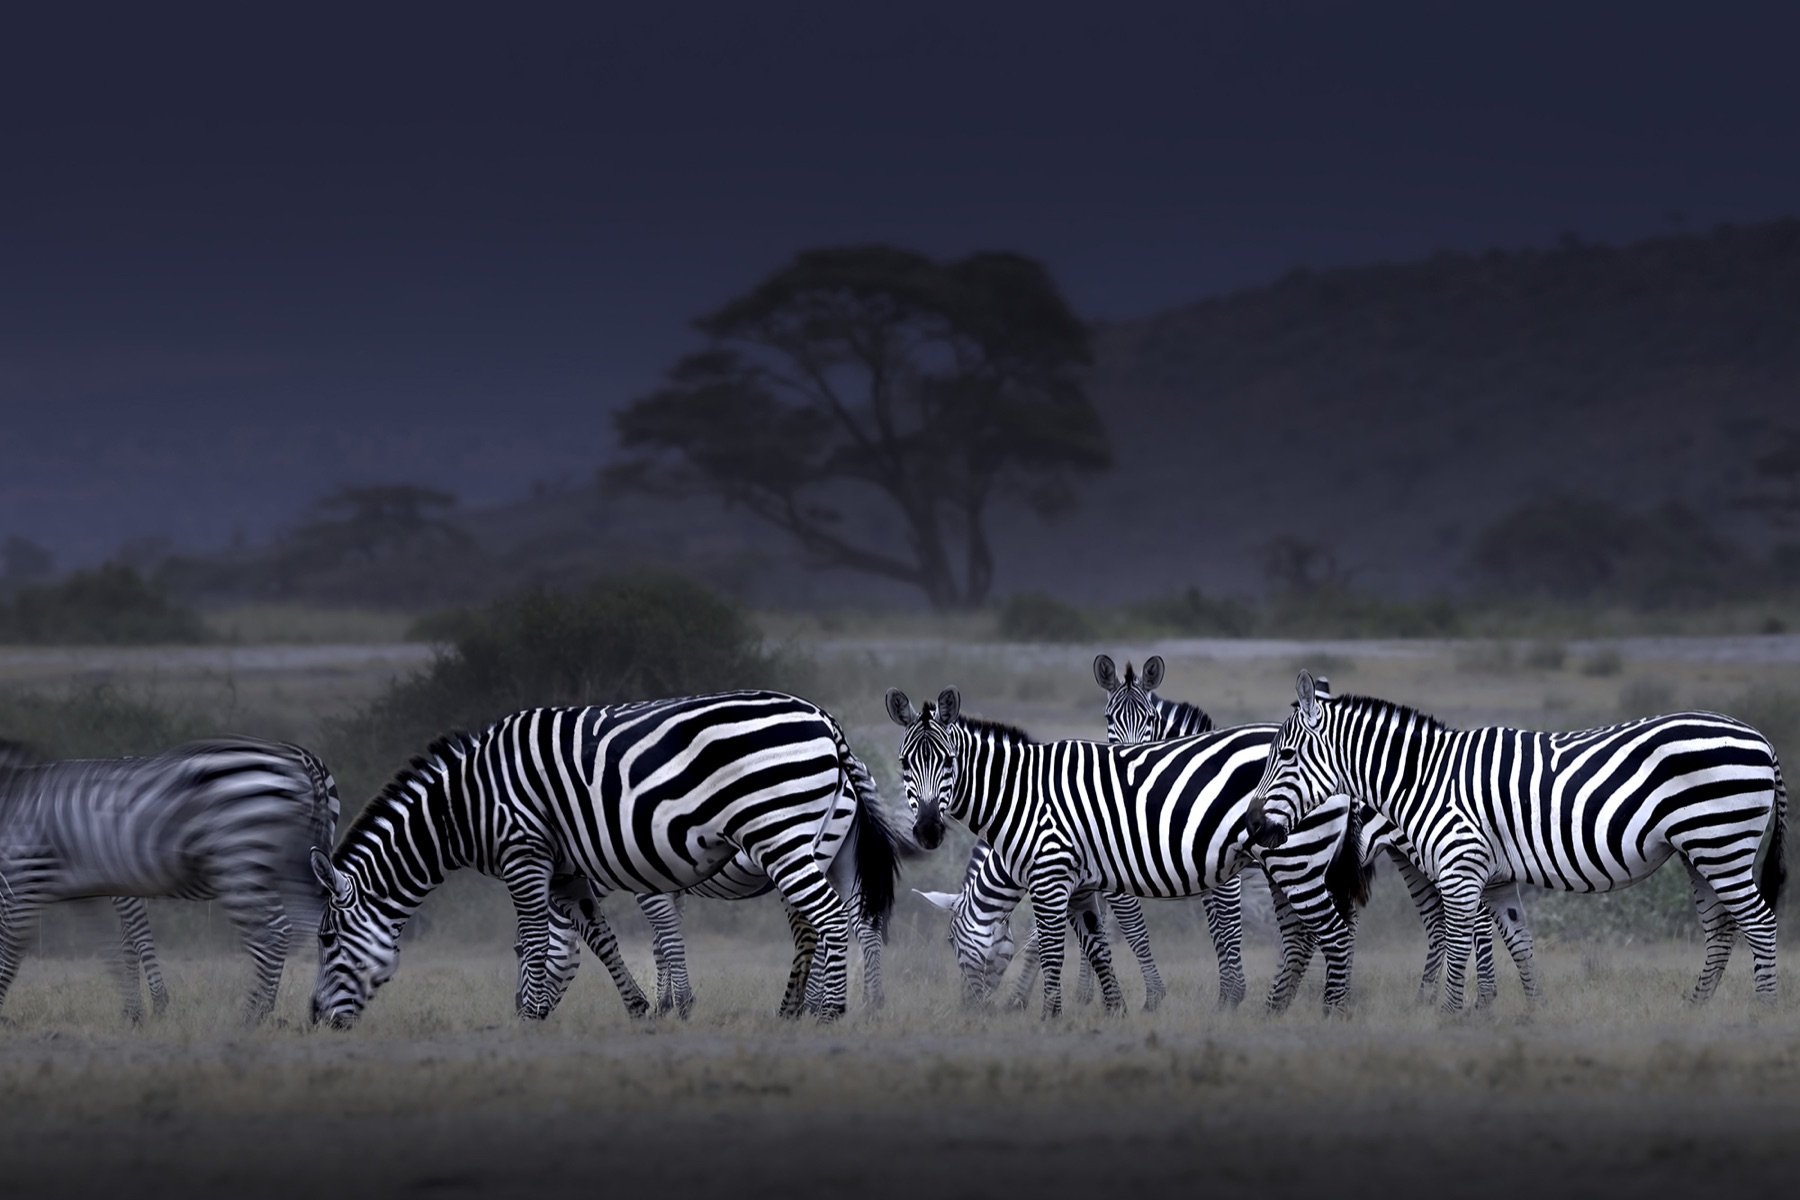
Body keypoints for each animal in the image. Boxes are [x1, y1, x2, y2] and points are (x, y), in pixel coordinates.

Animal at [0, 738, 340, 1021]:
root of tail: (304, 760)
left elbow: (136, 938)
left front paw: (154, 1006)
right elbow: (125, 942)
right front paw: (134, 1010)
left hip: (247, 867)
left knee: (278, 931)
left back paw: (256, 1013)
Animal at [310, 692, 905, 1027]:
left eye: (326, 941)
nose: (315, 1021)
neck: (466, 804)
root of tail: (826, 720)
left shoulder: (526, 852)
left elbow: (541, 938)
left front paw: (531, 1016)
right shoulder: (569, 871)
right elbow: (600, 941)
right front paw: (643, 1008)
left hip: (782, 834)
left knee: (826, 920)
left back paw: (827, 1013)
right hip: (826, 846)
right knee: (849, 921)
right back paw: (838, 1007)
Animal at [887, 686, 1367, 1016]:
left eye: (949, 761)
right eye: (904, 764)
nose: (927, 831)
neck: (1022, 795)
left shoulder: (1052, 876)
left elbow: (1051, 947)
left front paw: (1046, 1015)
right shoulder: (1079, 884)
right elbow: (1095, 946)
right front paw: (1113, 1010)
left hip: (1296, 860)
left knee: (1335, 934)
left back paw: (1332, 1012)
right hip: (1283, 863)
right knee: (1300, 937)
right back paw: (1273, 1011)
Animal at [1246, 671, 1788, 1010]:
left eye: (1286, 755)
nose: (1252, 826)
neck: (1426, 778)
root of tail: (1761, 737)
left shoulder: (1461, 871)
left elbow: (1460, 945)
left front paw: (1449, 1016)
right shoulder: (1494, 879)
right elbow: (1518, 944)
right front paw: (1530, 1014)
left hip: (1722, 845)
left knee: (1759, 923)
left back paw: (1762, 1010)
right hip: (1699, 853)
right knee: (1722, 930)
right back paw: (1696, 1009)